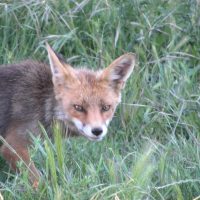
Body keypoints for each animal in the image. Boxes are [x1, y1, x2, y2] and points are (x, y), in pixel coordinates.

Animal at [0, 43, 136, 186]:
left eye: (106, 107)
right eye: (78, 107)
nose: (97, 131)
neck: (43, 102)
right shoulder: (13, 146)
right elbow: (39, 181)